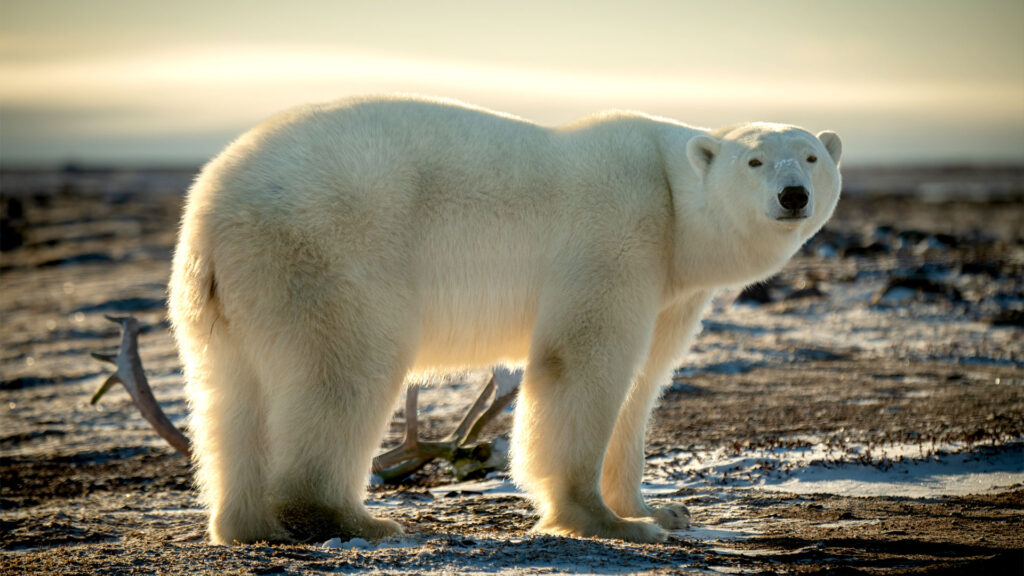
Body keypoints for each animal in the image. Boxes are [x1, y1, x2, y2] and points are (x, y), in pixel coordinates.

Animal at [167, 94, 839, 541]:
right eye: (754, 162)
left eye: (810, 156)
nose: (793, 195)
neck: (673, 200)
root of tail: (207, 212)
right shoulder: (619, 231)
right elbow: (582, 360)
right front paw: (605, 521)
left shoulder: (672, 287)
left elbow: (643, 383)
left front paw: (659, 510)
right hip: (327, 249)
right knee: (344, 371)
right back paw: (357, 520)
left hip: (232, 296)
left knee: (231, 396)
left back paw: (248, 523)